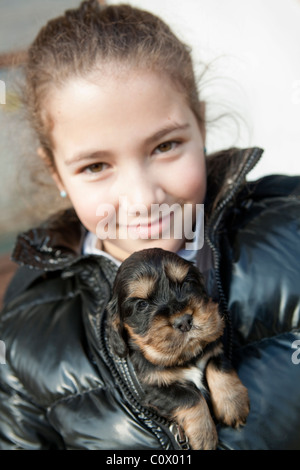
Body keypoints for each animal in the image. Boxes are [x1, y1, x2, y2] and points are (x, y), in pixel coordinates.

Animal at [106, 248, 250, 450]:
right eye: (142, 305)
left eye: (187, 283)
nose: (184, 321)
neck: (185, 356)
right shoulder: (155, 389)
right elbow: (190, 396)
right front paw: (204, 437)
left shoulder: (215, 349)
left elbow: (218, 368)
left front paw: (233, 405)